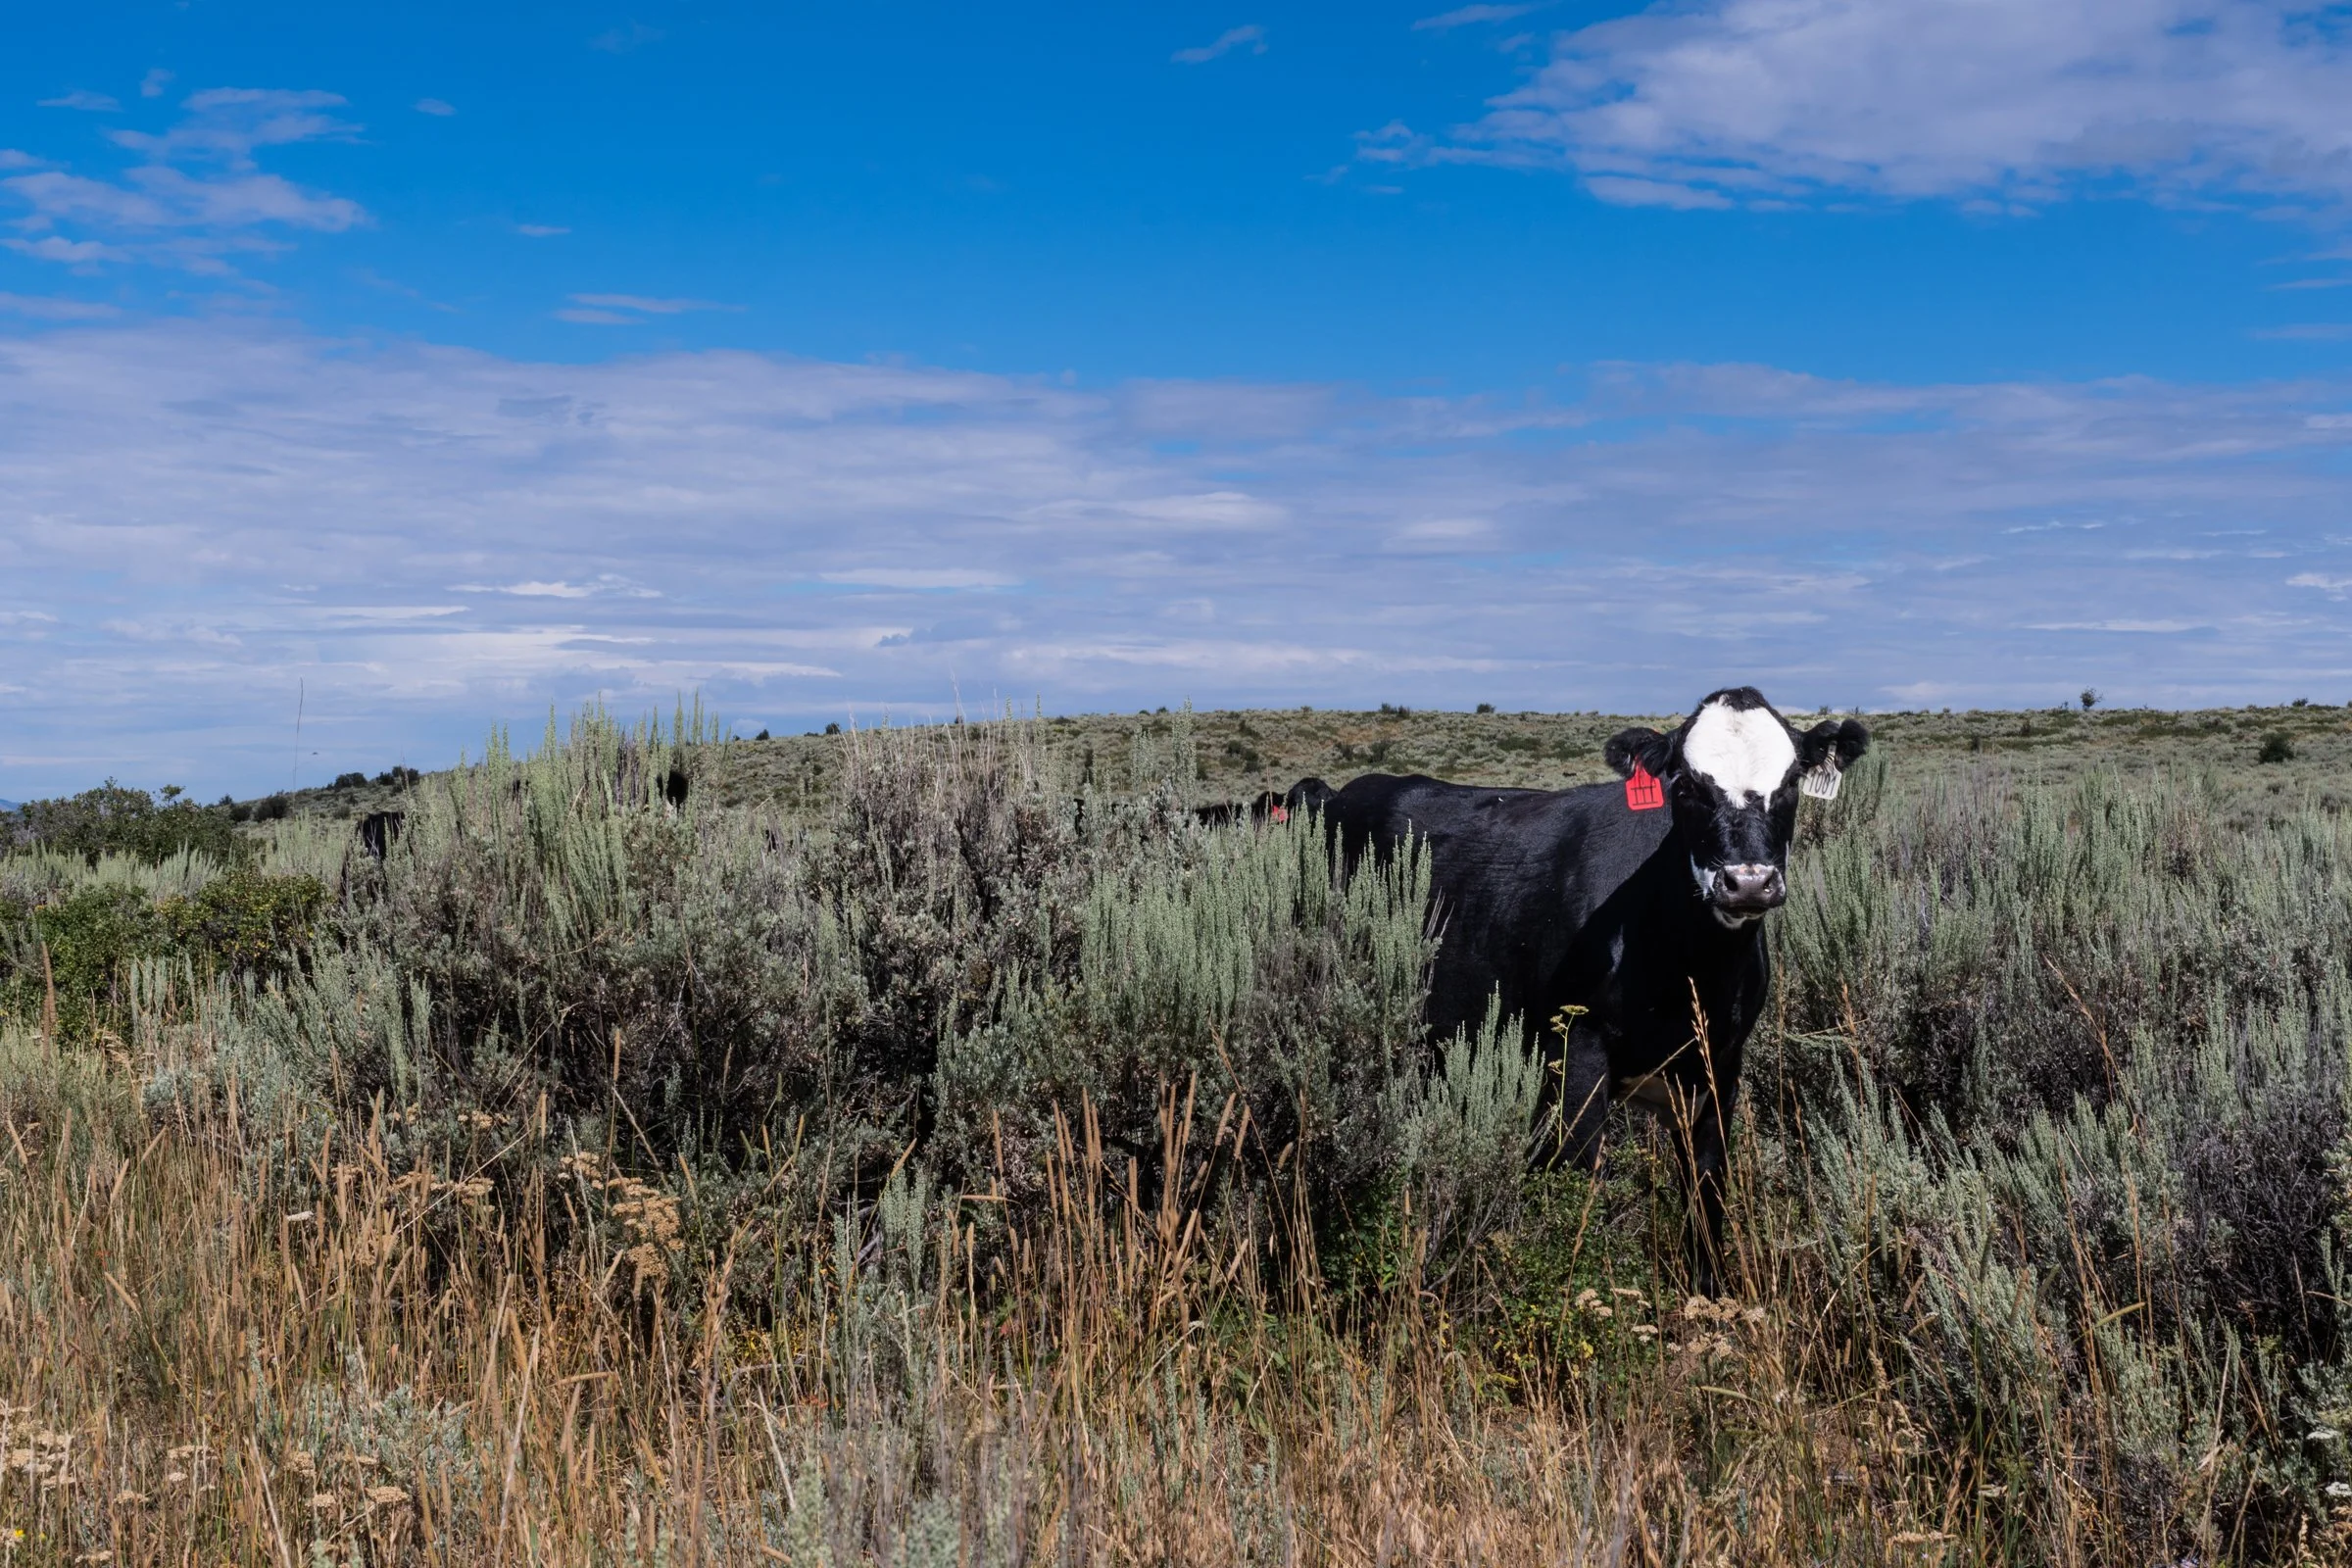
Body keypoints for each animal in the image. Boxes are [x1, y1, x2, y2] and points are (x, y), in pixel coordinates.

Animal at [1305, 688, 1867, 1296]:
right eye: (1688, 787)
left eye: (1789, 784)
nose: (1748, 881)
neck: (1687, 965)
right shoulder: (1575, 1049)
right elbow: (1576, 1178)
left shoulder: (1720, 1062)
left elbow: (1707, 1188)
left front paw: (1709, 1294)